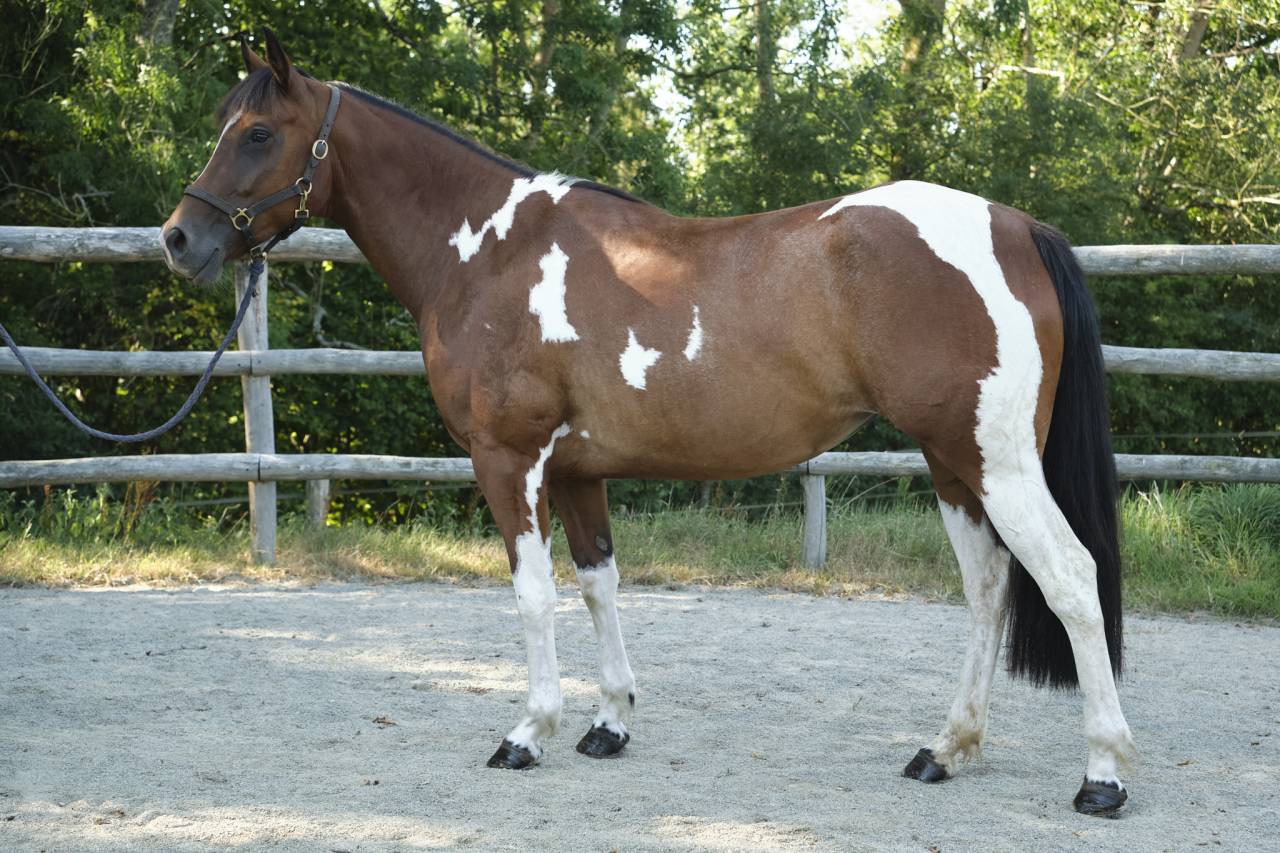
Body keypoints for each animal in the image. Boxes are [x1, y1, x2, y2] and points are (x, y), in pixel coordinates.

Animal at [160, 30, 1135, 816]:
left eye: (257, 133)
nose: (177, 239)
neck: (487, 252)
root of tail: (1015, 226)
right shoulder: (577, 469)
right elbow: (598, 584)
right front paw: (609, 722)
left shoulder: (509, 459)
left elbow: (532, 593)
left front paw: (529, 731)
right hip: (951, 462)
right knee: (990, 588)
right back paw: (947, 749)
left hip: (995, 461)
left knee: (1069, 578)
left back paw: (1103, 774)